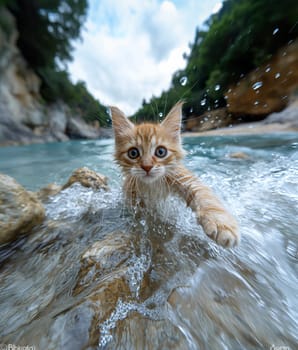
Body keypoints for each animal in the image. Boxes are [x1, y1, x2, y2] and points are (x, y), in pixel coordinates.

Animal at [110, 101, 240, 247]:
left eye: (161, 152)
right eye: (133, 153)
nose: (147, 167)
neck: (152, 186)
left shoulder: (183, 177)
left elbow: (205, 196)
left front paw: (222, 224)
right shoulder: (133, 200)